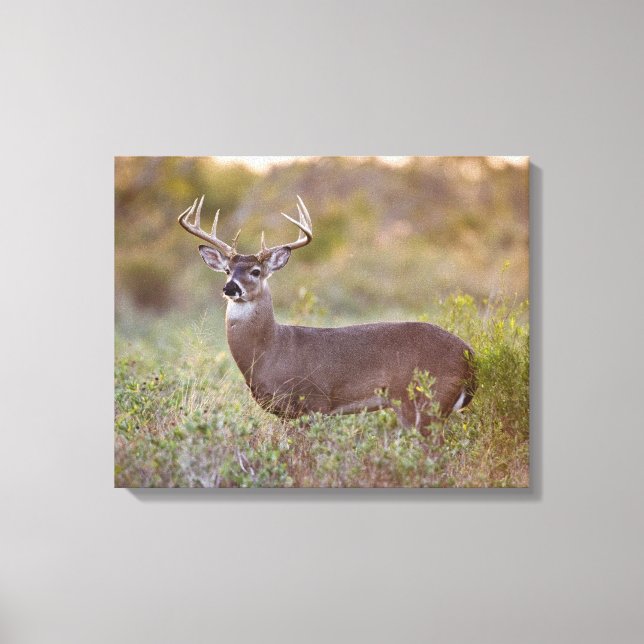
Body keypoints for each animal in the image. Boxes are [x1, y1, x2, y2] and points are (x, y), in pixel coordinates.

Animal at [178, 195, 476, 434]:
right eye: (228, 270)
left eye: (255, 271)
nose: (230, 288)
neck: (270, 350)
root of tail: (469, 354)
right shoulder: (285, 414)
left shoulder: (315, 403)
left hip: (424, 401)